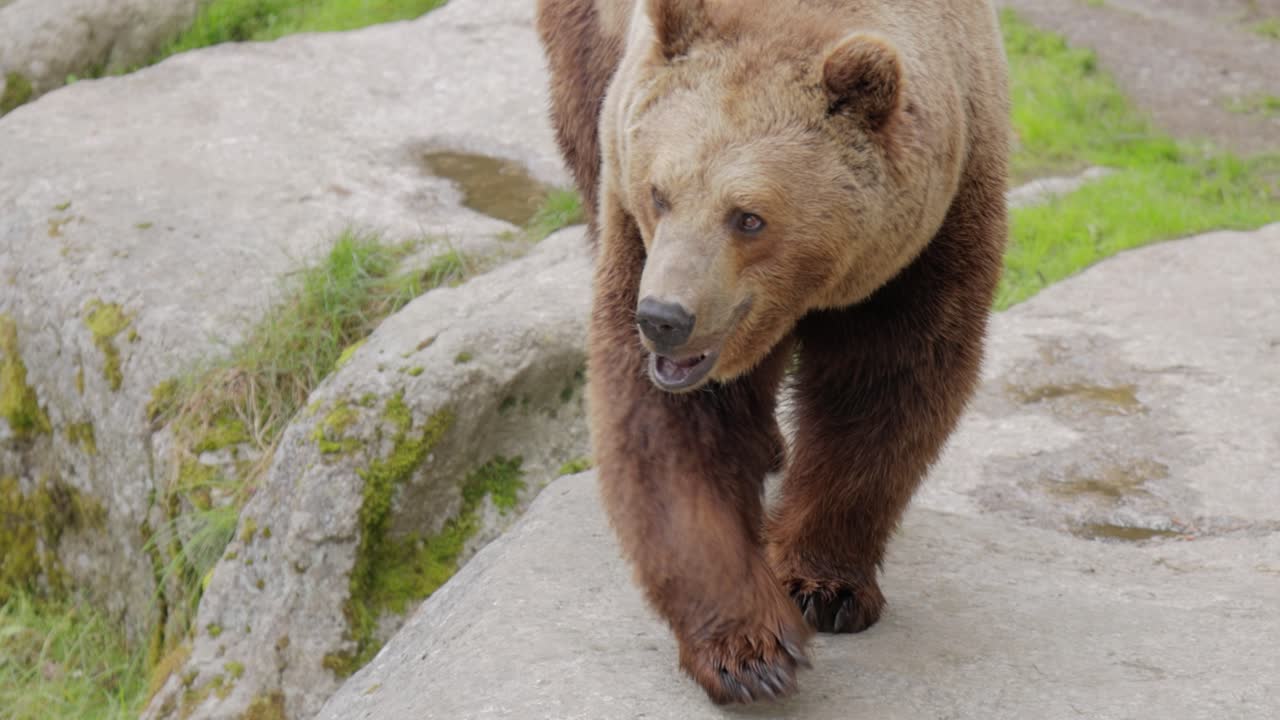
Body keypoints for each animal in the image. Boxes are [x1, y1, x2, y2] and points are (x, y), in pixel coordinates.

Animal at [537, 0, 1009, 704]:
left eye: (749, 217)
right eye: (659, 193)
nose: (665, 319)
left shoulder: (932, 231)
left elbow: (886, 388)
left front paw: (823, 586)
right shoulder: (633, 223)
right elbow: (668, 430)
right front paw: (750, 650)